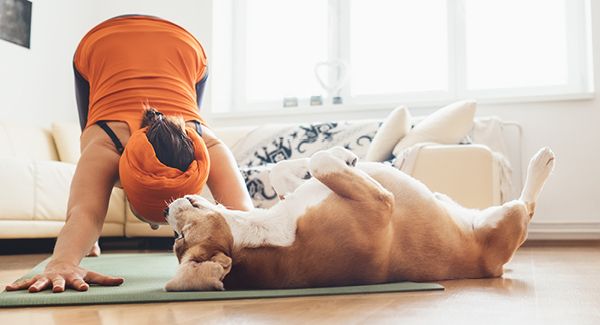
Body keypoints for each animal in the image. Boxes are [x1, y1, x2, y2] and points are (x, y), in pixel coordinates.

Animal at [163, 146, 552, 290]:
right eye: (179, 240)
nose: (165, 210)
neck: (267, 232)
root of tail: (495, 269)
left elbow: (282, 170)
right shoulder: (381, 203)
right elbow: (320, 160)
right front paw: (341, 152)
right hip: (509, 218)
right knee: (527, 206)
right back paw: (540, 164)